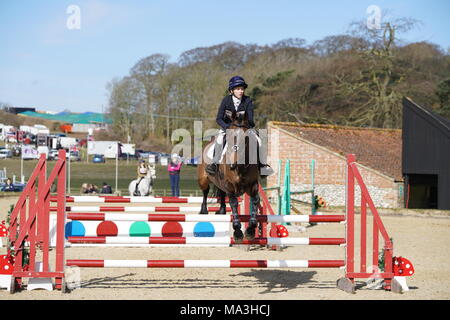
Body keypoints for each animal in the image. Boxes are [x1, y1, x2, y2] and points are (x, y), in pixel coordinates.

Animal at [198, 110, 264, 242]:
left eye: (245, 138)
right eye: (229, 137)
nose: (233, 164)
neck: (241, 167)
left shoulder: (253, 185)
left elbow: (255, 200)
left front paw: (250, 230)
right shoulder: (230, 185)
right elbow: (233, 203)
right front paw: (238, 232)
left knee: (221, 192)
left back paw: (222, 210)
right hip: (203, 179)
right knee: (205, 192)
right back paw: (204, 210)